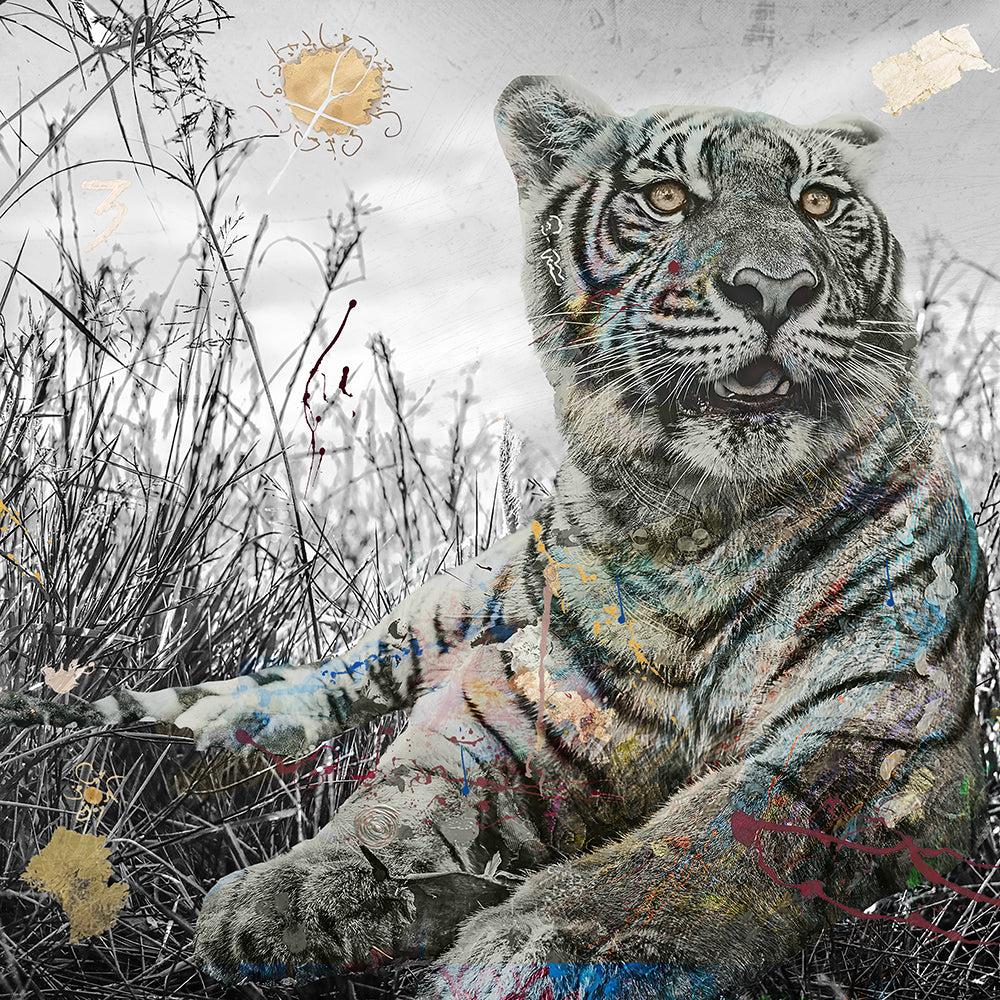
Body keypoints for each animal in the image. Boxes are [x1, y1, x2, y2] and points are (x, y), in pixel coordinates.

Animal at [1, 75, 988, 1000]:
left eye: (818, 203)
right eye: (669, 198)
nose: (776, 289)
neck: (694, 519)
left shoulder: (881, 727)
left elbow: (731, 817)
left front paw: (567, 944)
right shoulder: (513, 703)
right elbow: (404, 798)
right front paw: (284, 892)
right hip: (452, 599)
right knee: (352, 667)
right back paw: (223, 719)